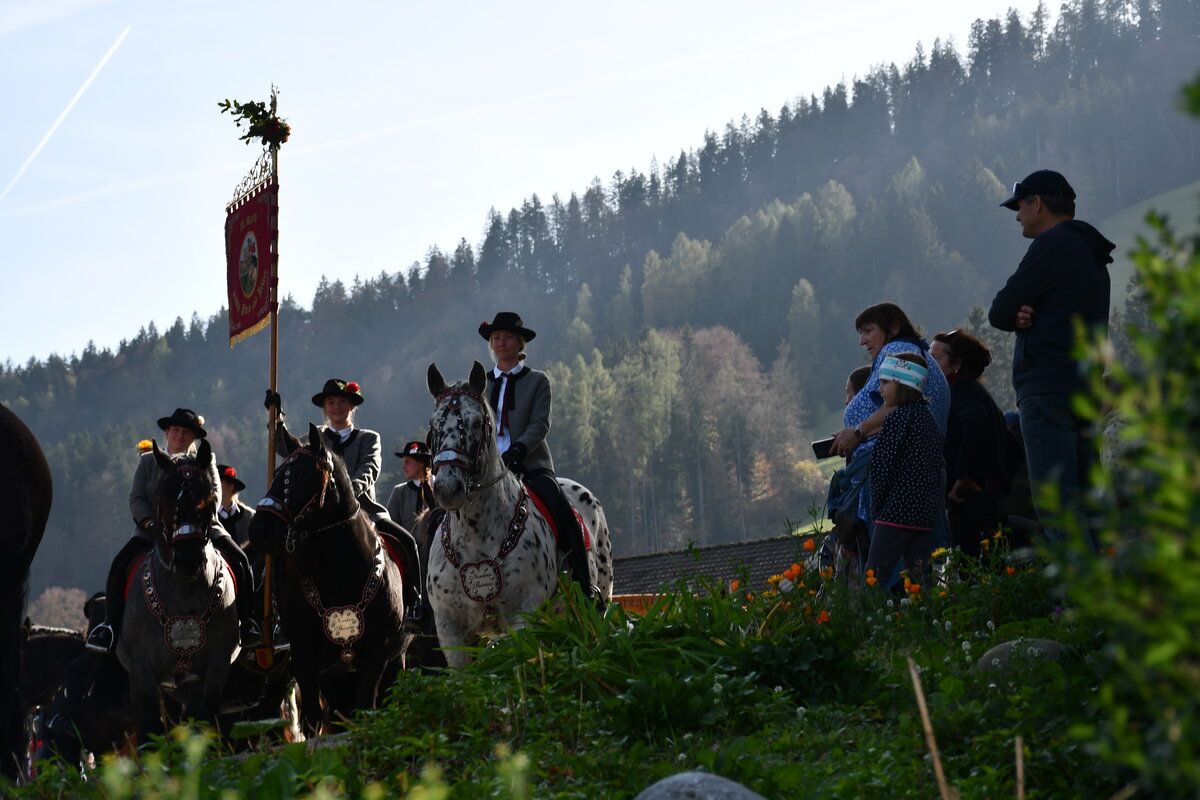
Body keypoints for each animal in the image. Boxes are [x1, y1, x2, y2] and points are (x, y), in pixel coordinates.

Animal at [115, 440, 240, 741]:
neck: (184, 590)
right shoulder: (143, 671)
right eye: (166, 496)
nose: (189, 558)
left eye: (208, 499)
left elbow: (202, 724)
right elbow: (150, 730)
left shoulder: (215, 669)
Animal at [249, 423, 406, 736]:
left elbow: (366, 709)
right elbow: (312, 718)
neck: (341, 575)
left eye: (303, 476)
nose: (260, 530)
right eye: (277, 473)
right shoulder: (304, 658)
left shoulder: (377, 655)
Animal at [425, 362, 614, 668]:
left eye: (477, 423)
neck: (477, 537)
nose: (448, 488)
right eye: (433, 427)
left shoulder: (523, 616)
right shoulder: (450, 628)